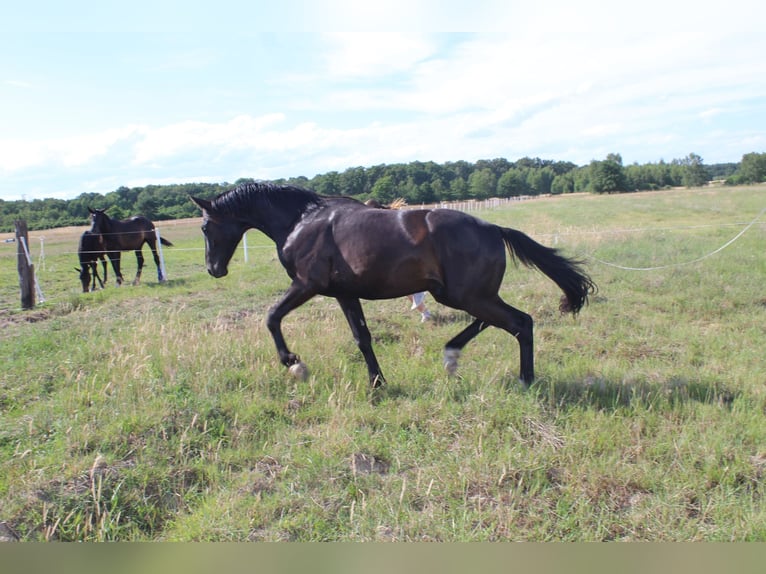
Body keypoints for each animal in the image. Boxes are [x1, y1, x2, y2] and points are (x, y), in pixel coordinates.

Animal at [189, 183, 596, 392]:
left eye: (205, 227)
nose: (213, 269)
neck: (301, 221)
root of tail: (494, 228)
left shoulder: (306, 284)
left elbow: (272, 317)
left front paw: (294, 364)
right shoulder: (345, 293)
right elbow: (362, 338)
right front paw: (377, 383)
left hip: (467, 295)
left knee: (520, 322)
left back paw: (524, 380)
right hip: (463, 294)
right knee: (498, 321)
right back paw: (452, 355)